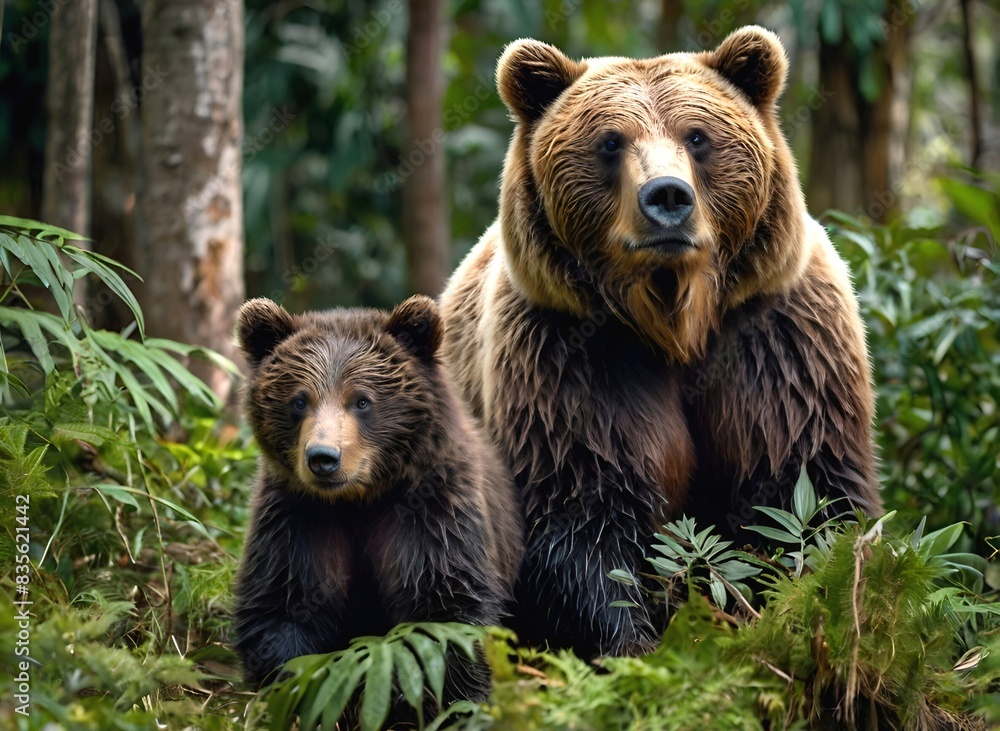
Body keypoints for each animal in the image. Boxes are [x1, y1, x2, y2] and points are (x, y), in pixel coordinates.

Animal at [231, 294, 524, 710]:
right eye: (300, 400)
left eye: (362, 400)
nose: (323, 458)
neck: (359, 499)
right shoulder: (297, 515)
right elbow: (284, 603)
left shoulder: (431, 512)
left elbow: (446, 605)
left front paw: (456, 700)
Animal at [439, 26, 881, 659]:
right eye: (610, 141)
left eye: (697, 137)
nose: (667, 196)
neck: (675, 320)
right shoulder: (569, 357)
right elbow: (583, 516)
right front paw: (633, 644)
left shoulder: (776, 341)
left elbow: (803, 489)